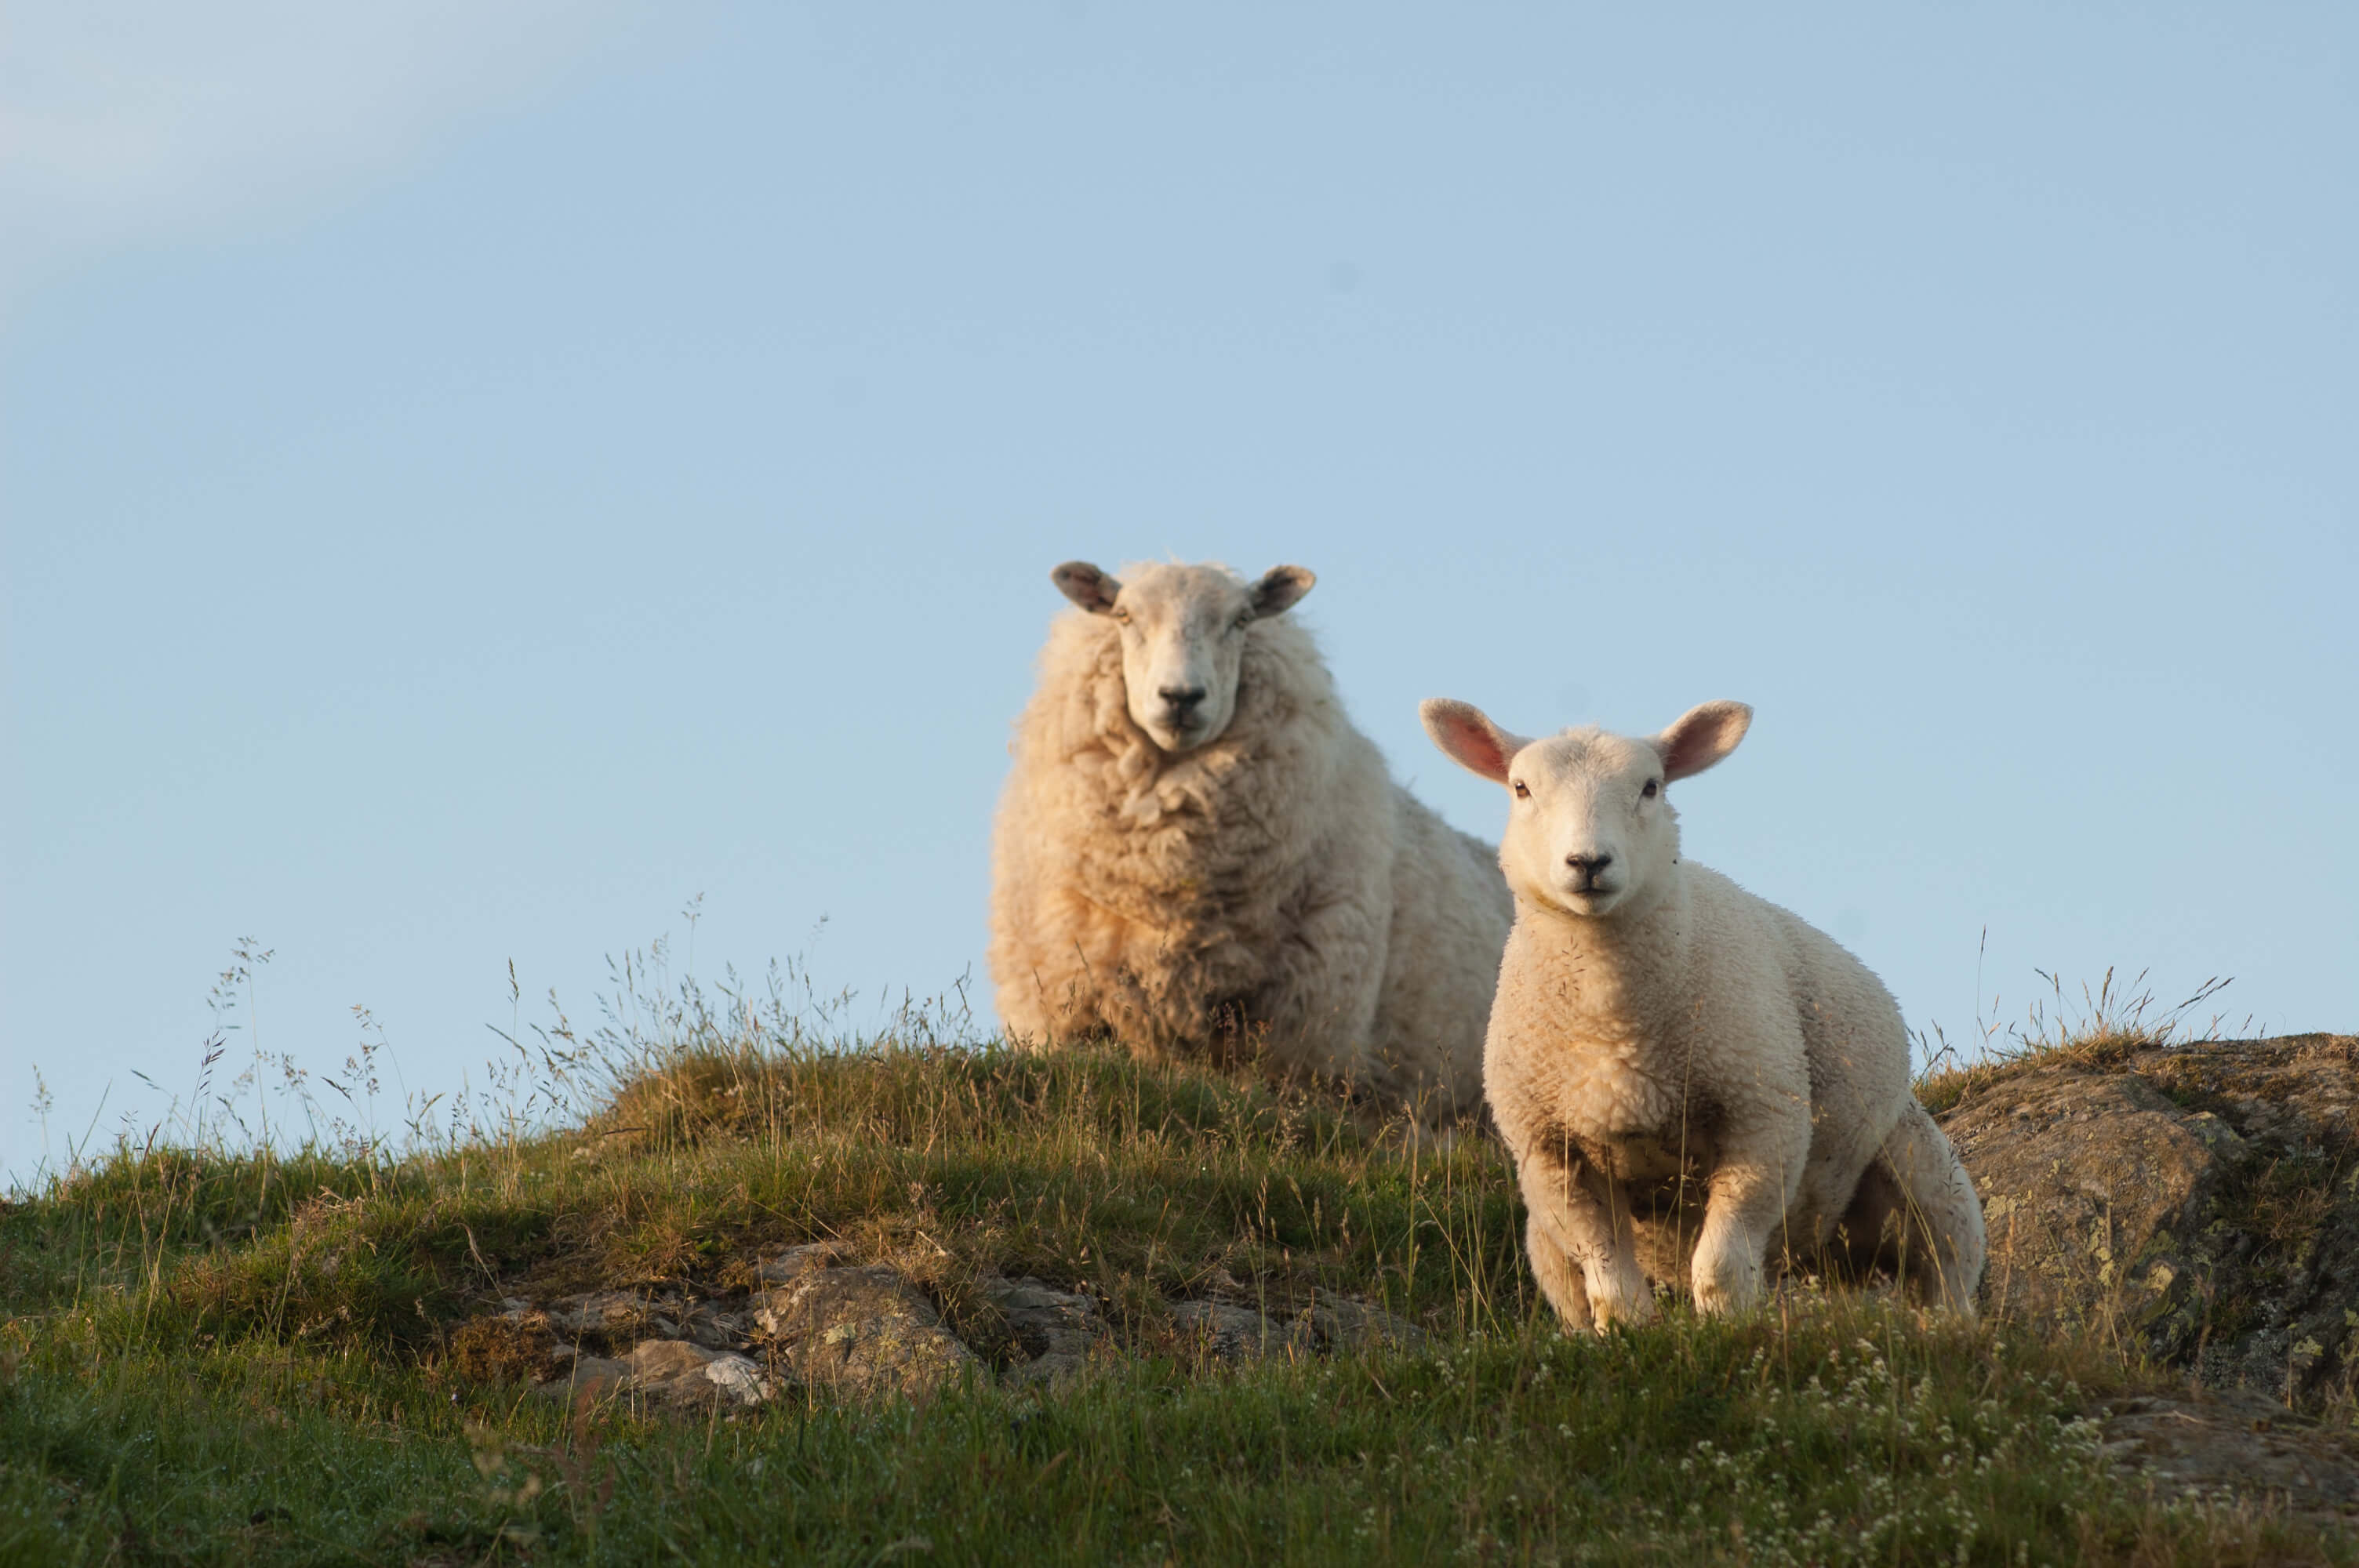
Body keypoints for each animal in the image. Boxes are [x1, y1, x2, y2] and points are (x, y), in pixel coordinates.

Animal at [1420, 696, 1985, 1325]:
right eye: (1521, 788)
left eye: (1651, 787)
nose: (1588, 862)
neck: (1612, 1026)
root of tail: (1818, 1263)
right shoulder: (1550, 1152)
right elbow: (1609, 1280)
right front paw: (1628, 1332)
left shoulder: (1763, 1118)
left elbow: (1720, 1264)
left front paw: (1727, 1325)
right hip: (1543, 1241)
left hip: (1929, 1178)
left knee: (1946, 1273)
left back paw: (1943, 1325)